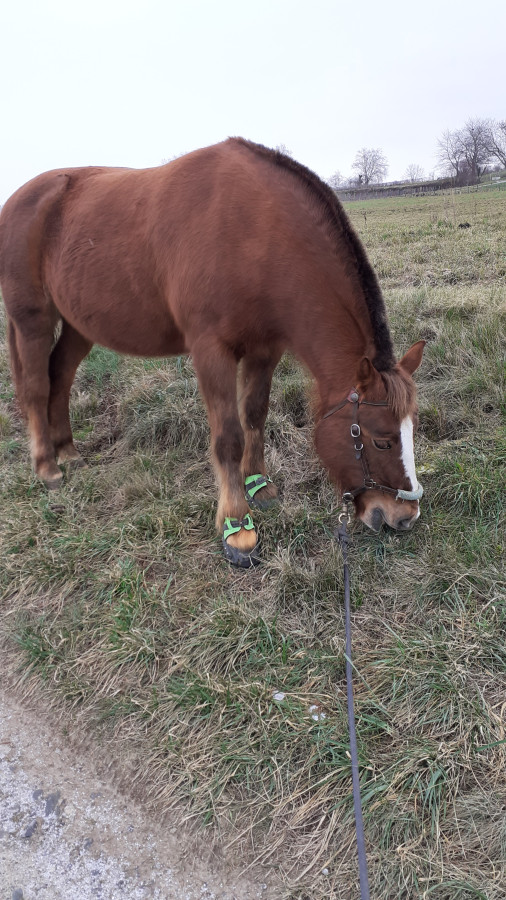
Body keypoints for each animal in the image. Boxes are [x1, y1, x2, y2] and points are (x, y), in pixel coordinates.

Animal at [0, 138, 425, 567]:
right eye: (381, 440)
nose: (405, 516)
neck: (255, 230)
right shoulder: (211, 352)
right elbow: (228, 438)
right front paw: (238, 527)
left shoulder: (265, 349)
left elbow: (254, 415)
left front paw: (259, 486)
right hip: (33, 320)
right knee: (37, 386)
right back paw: (48, 467)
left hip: (78, 325)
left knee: (60, 377)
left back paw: (68, 452)